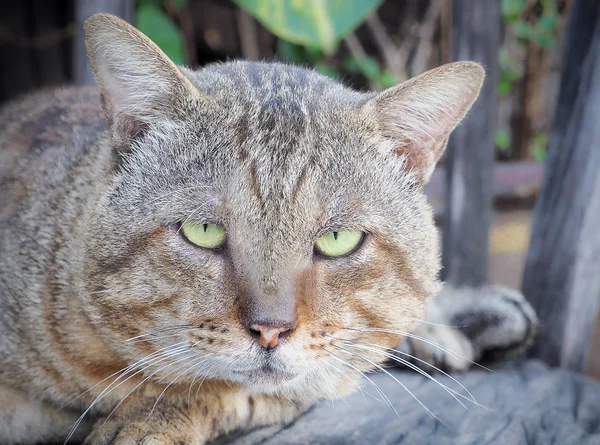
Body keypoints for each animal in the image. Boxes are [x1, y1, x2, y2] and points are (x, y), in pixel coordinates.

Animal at [0, 13, 536, 444]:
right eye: (203, 230)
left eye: (337, 240)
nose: (271, 331)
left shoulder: (305, 382)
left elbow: (226, 389)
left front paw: (151, 420)